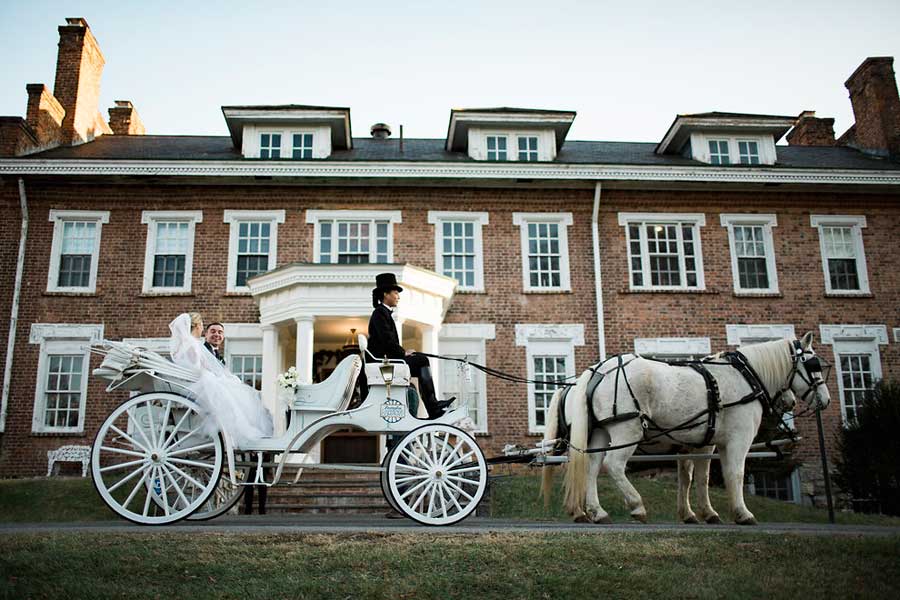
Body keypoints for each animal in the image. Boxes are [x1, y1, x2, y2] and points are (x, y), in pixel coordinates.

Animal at [540, 332, 828, 524]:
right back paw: (636, 505)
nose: (825, 400)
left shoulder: (699, 441)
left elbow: (694, 478)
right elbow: (735, 473)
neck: (745, 376)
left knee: (591, 467)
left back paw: (597, 512)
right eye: (814, 365)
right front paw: (742, 513)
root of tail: (598, 370)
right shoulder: (738, 438)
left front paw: (700, 513)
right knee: (614, 465)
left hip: (601, 431)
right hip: (627, 429)